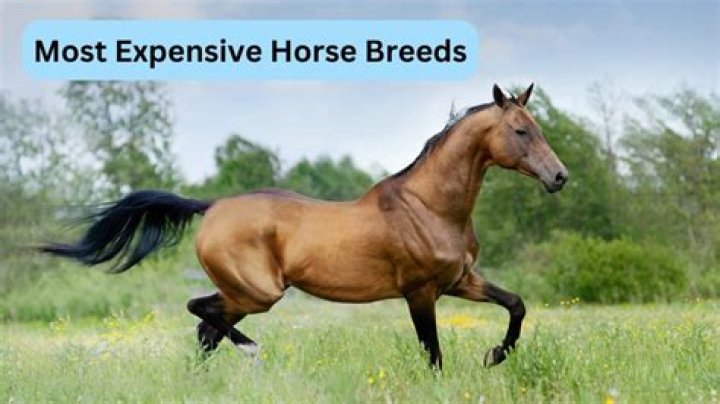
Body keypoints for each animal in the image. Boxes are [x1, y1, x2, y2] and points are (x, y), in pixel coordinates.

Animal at [40, 83, 567, 369]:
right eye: (520, 131)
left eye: (538, 127)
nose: (559, 177)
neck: (430, 207)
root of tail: (212, 206)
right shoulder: (420, 293)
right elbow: (433, 353)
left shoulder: (460, 281)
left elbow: (516, 305)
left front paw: (495, 355)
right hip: (257, 293)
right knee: (200, 312)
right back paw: (252, 352)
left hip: (244, 296)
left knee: (206, 330)